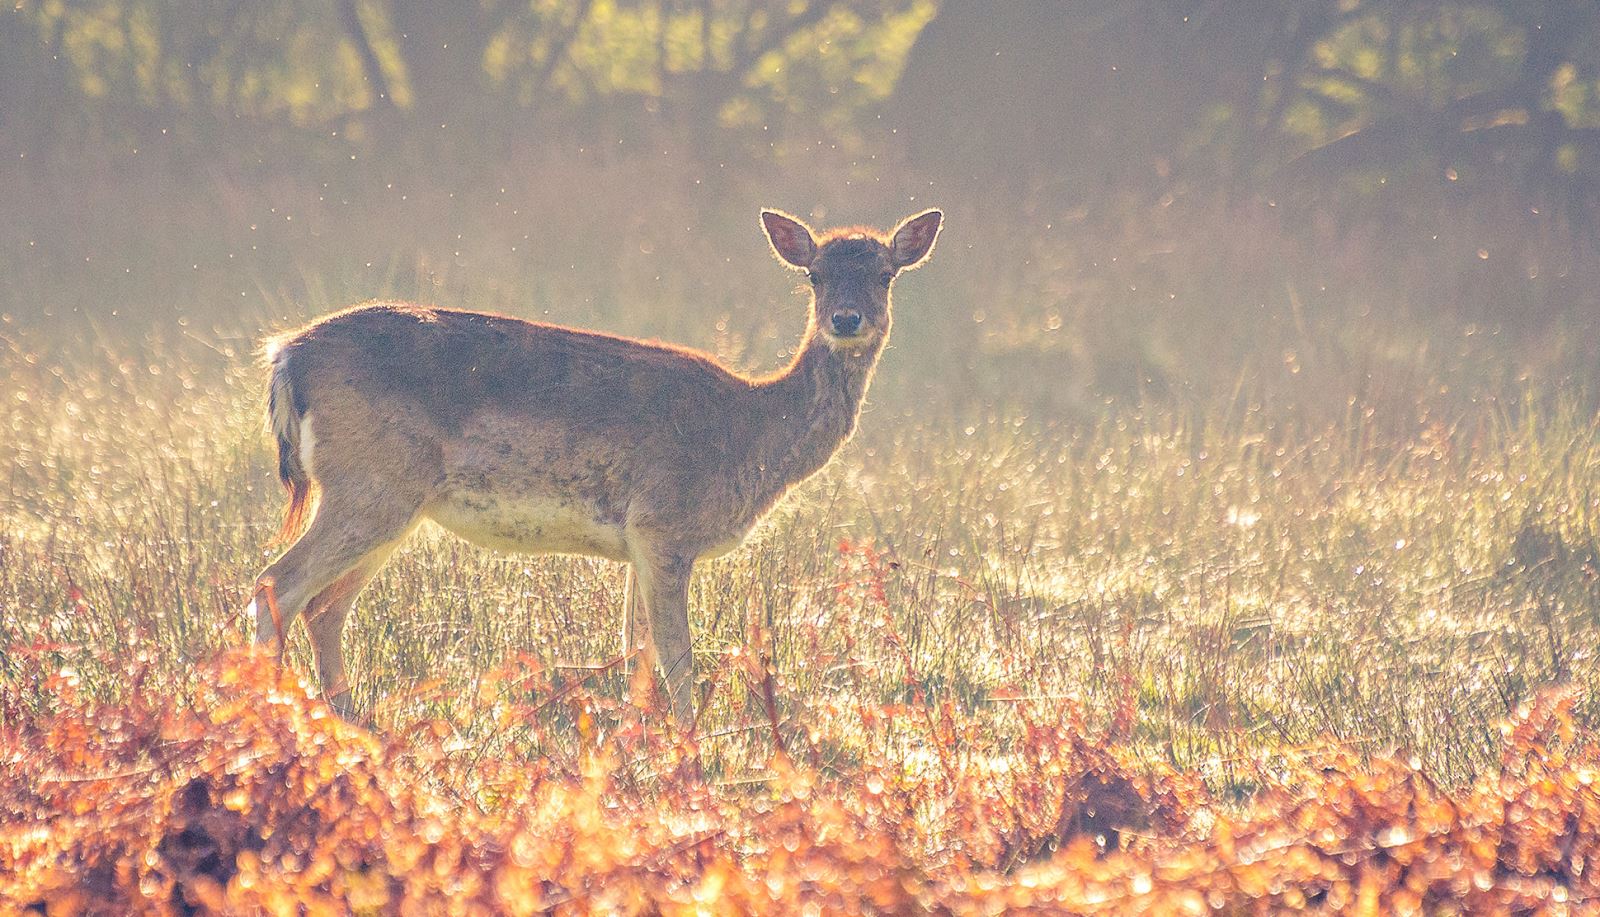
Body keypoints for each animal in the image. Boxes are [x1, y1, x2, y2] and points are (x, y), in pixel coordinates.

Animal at [246, 208, 934, 723]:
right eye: (814, 275)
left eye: (885, 274)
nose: (847, 319)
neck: (749, 434)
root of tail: (286, 354)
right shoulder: (665, 524)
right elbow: (677, 658)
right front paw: (689, 751)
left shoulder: (638, 542)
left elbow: (637, 655)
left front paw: (642, 745)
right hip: (370, 484)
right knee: (277, 585)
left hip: (390, 501)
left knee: (324, 606)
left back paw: (349, 723)